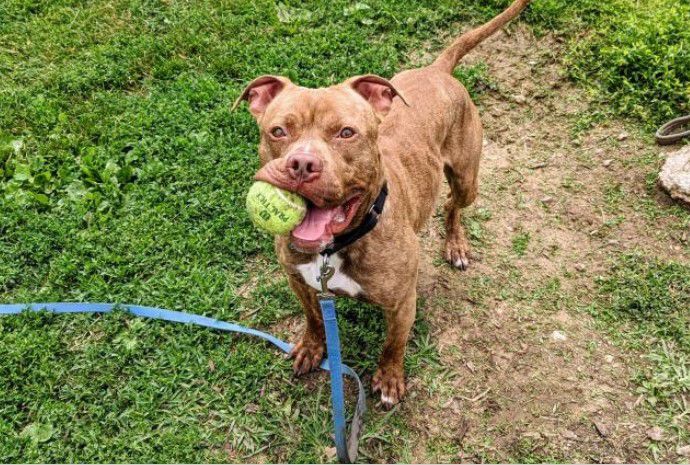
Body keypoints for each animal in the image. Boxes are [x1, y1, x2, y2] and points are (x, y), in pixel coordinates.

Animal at [234, 0, 528, 406]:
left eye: (346, 132)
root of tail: (437, 70)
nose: (302, 164)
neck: (335, 248)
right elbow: (313, 318)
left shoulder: (402, 302)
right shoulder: (300, 282)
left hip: (467, 178)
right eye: (278, 131)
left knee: (453, 204)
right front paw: (312, 347)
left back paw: (455, 244)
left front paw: (389, 380)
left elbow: (393, 344)